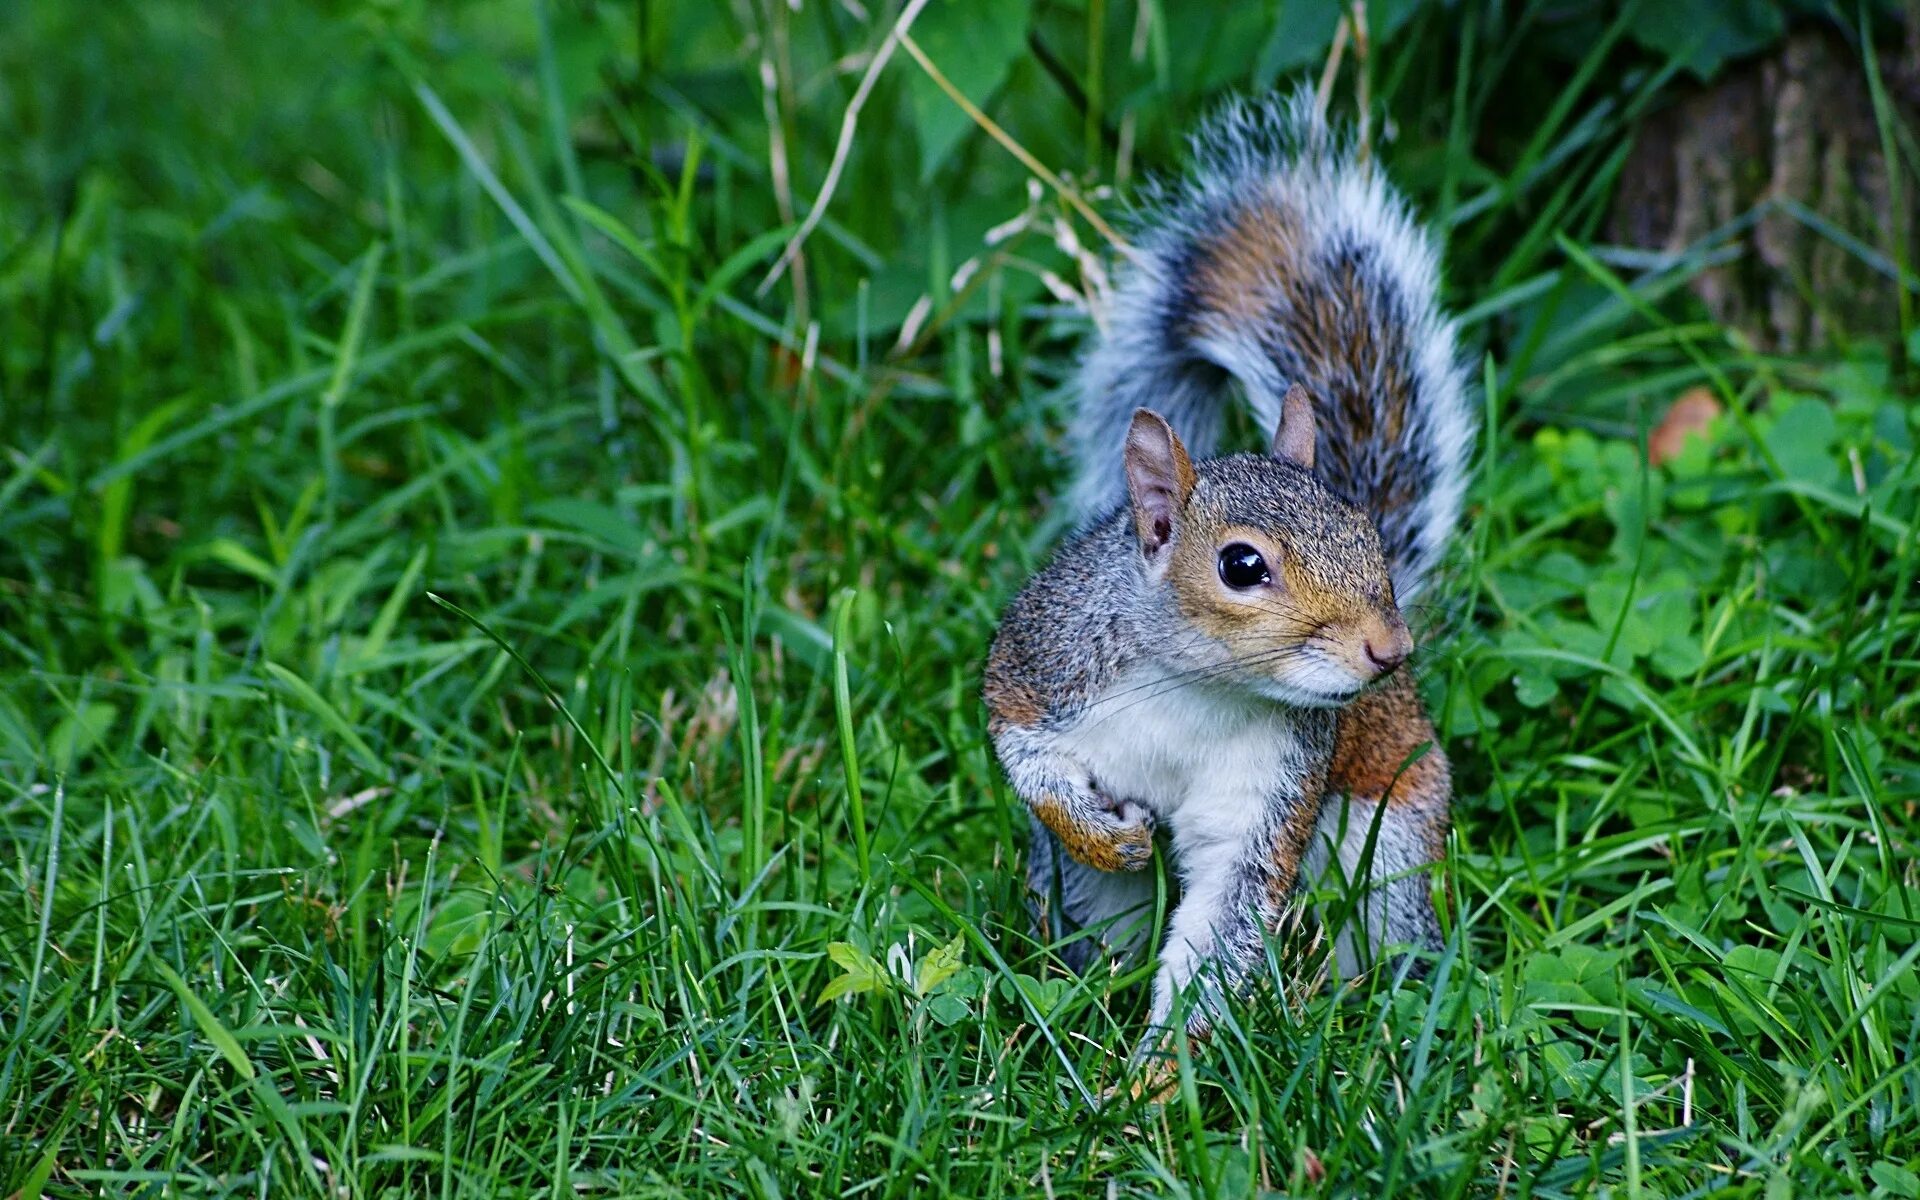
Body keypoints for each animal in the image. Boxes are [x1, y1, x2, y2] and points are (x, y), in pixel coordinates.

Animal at [983, 96, 1474, 1044]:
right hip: (1086, 894)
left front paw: (1158, 1075)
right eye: (1242, 565)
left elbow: (1224, 920)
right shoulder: (1040, 665)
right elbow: (1024, 754)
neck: (1196, 686)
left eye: (1367, 533)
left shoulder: (1270, 789)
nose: (1388, 649)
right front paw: (1104, 833)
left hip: (1389, 836)